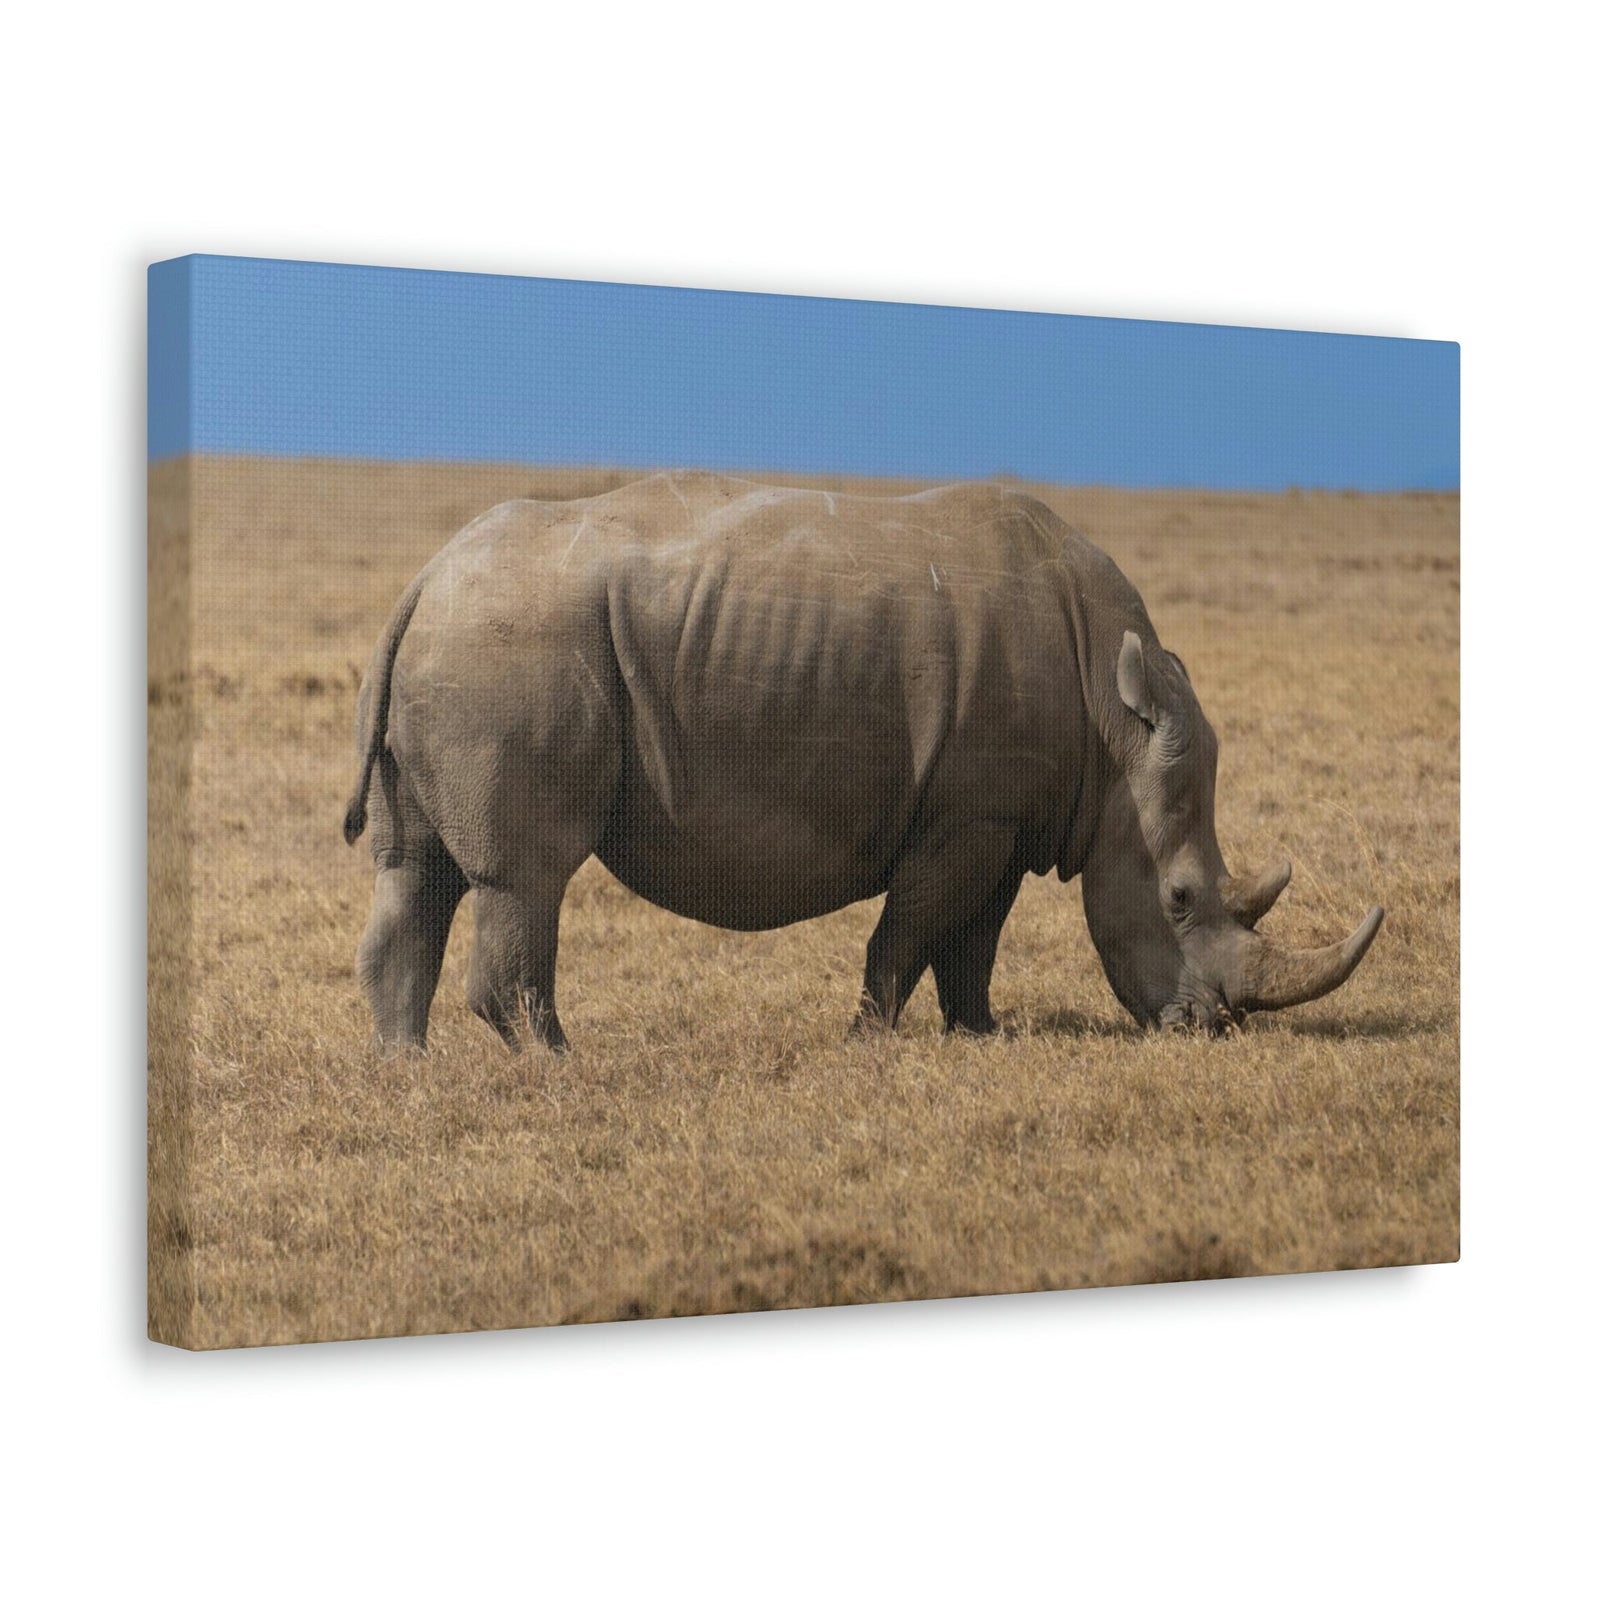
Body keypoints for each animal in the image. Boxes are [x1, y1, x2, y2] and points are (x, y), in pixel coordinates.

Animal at [344, 472, 1382, 1051]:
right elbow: (910, 932)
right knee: (527, 875)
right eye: (1179, 900)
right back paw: (558, 1065)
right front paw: (870, 1041)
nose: (1214, 1027)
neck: (1112, 724)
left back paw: (407, 1073)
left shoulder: (1004, 817)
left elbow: (974, 940)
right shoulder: (966, 816)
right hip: (510, 651)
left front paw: (981, 1038)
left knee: (416, 872)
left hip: (463, 646)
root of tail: (423, 577)